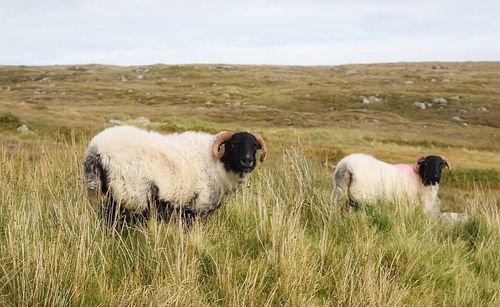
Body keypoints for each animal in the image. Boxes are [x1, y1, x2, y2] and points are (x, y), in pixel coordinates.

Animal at [83, 125, 268, 226]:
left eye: (255, 145)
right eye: (234, 144)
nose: (247, 161)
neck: (218, 164)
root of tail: (95, 150)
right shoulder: (195, 209)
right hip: (130, 195)